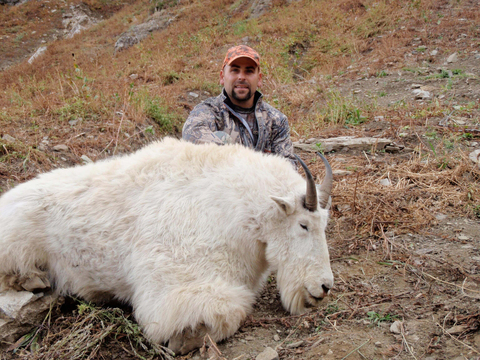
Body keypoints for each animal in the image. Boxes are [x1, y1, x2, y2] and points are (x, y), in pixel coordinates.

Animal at [0, 138, 334, 354]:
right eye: (303, 225)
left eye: (324, 224)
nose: (324, 287)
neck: (236, 208)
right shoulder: (175, 280)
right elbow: (226, 310)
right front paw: (186, 338)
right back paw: (32, 279)